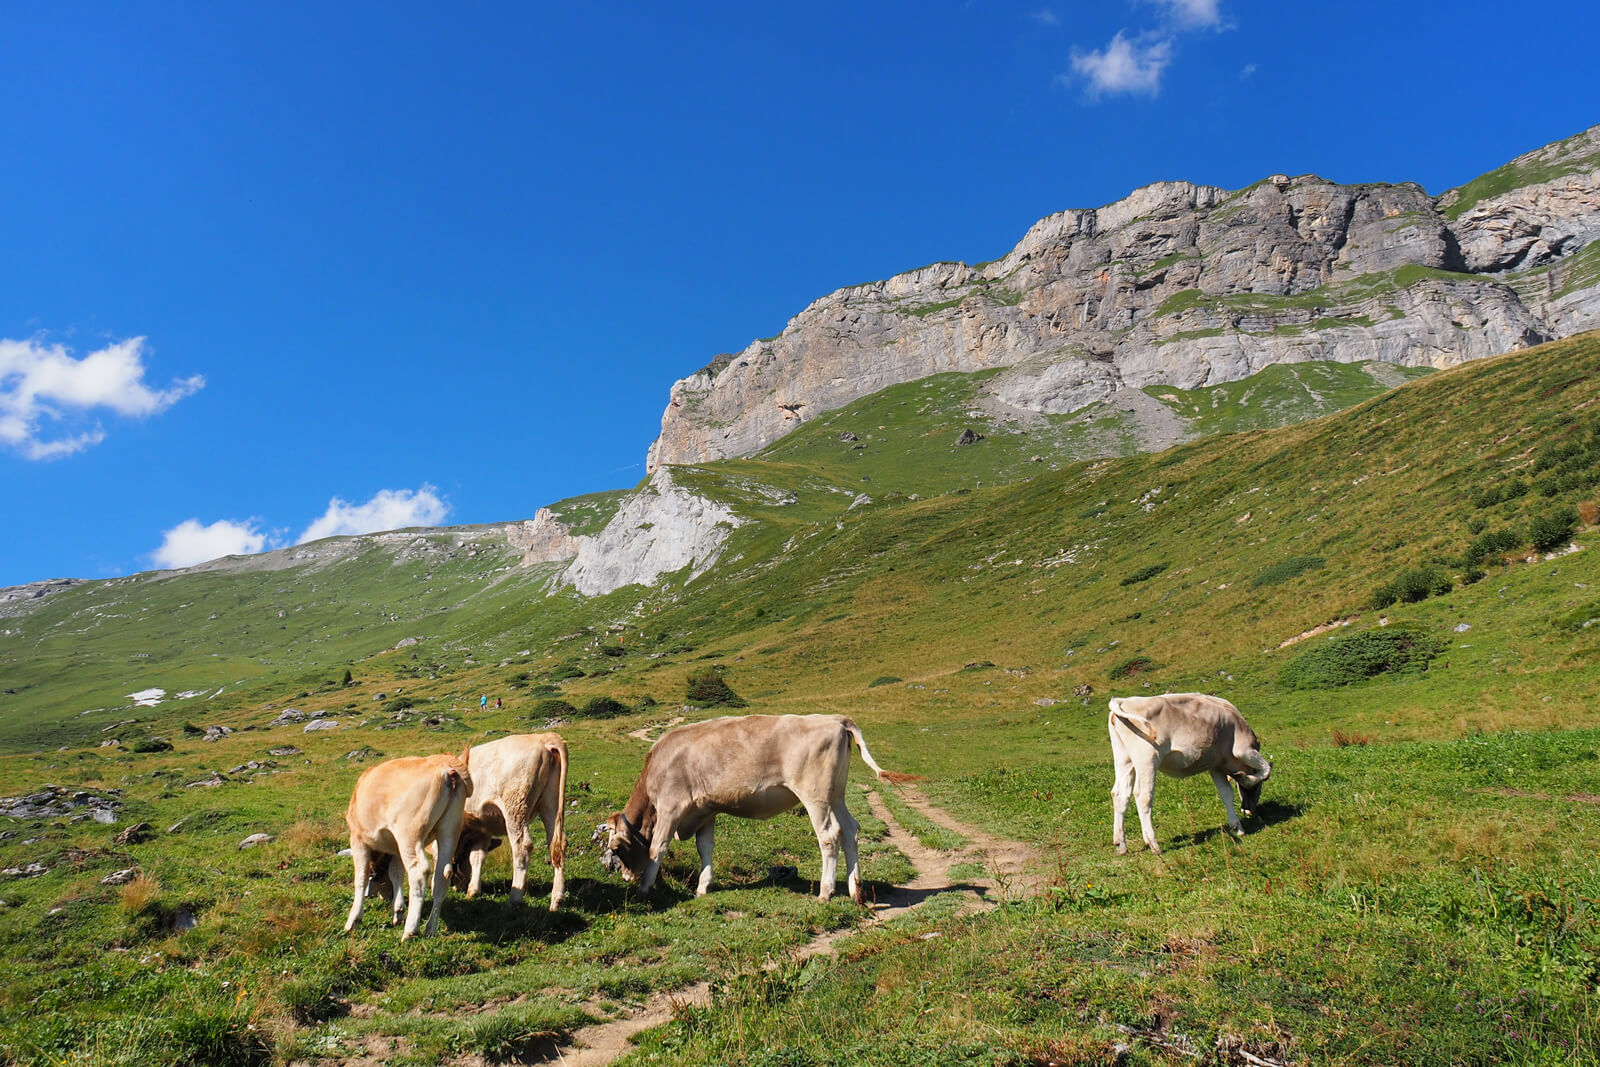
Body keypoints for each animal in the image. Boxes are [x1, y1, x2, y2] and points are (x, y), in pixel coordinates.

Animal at [347, 748, 470, 940]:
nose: (384, 896)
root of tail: (446, 770)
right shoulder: (395, 848)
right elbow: (396, 873)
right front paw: (398, 911)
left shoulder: (358, 838)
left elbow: (361, 877)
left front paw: (353, 920)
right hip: (449, 830)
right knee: (442, 875)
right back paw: (430, 928)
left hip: (410, 834)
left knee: (419, 871)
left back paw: (411, 930)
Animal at [451, 735, 569, 921]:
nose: (455, 887)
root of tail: (542, 737)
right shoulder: (483, 828)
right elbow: (477, 857)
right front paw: (473, 890)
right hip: (552, 804)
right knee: (557, 844)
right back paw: (557, 900)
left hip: (516, 807)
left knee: (522, 846)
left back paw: (514, 899)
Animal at [604, 713, 896, 908]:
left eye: (616, 849)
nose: (626, 877)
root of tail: (834, 719)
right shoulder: (705, 810)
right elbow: (705, 848)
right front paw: (703, 887)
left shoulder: (670, 807)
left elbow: (657, 848)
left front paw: (644, 889)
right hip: (836, 796)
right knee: (850, 830)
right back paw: (855, 891)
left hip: (816, 797)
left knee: (830, 835)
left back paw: (826, 892)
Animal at [1107, 694, 1267, 857]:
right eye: (1260, 786)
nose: (1249, 809)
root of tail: (1124, 700)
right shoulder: (1243, 750)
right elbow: (1266, 769)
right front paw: (1245, 778)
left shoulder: (1216, 765)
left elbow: (1226, 794)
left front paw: (1237, 827)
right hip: (1147, 758)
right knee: (1143, 796)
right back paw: (1153, 844)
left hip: (1124, 760)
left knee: (1120, 794)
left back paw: (1121, 844)